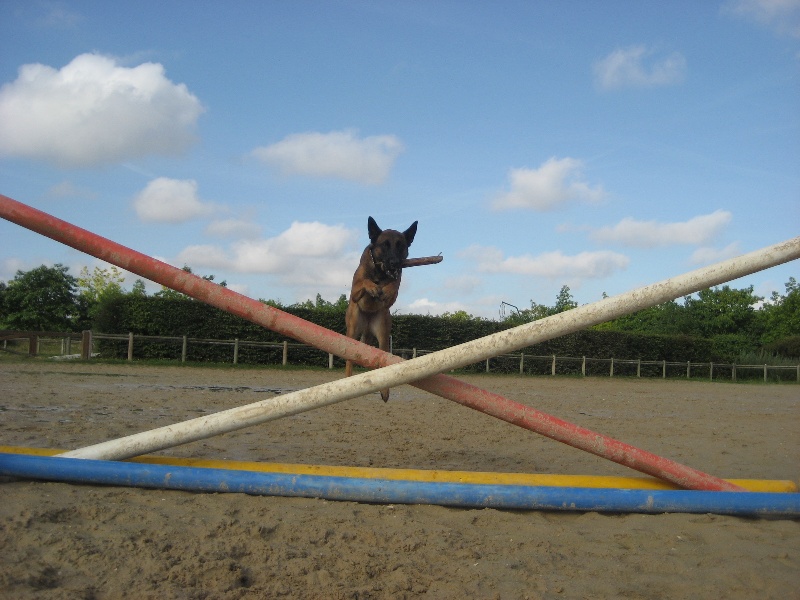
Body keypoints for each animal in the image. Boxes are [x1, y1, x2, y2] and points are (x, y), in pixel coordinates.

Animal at [346, 213, 418, 400]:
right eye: (384, 245)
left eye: (401, 246)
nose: (394, 263)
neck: (379, 272)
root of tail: (367, 324)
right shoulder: (355, 290)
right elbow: (364, 282)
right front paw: (372, 287)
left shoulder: (393, 293)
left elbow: (393, 287)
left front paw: (386, 287)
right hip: (353, 329)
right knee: (349, 358)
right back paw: (346, 379)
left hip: (383, 334)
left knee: (384, 359)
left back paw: (385, 391)